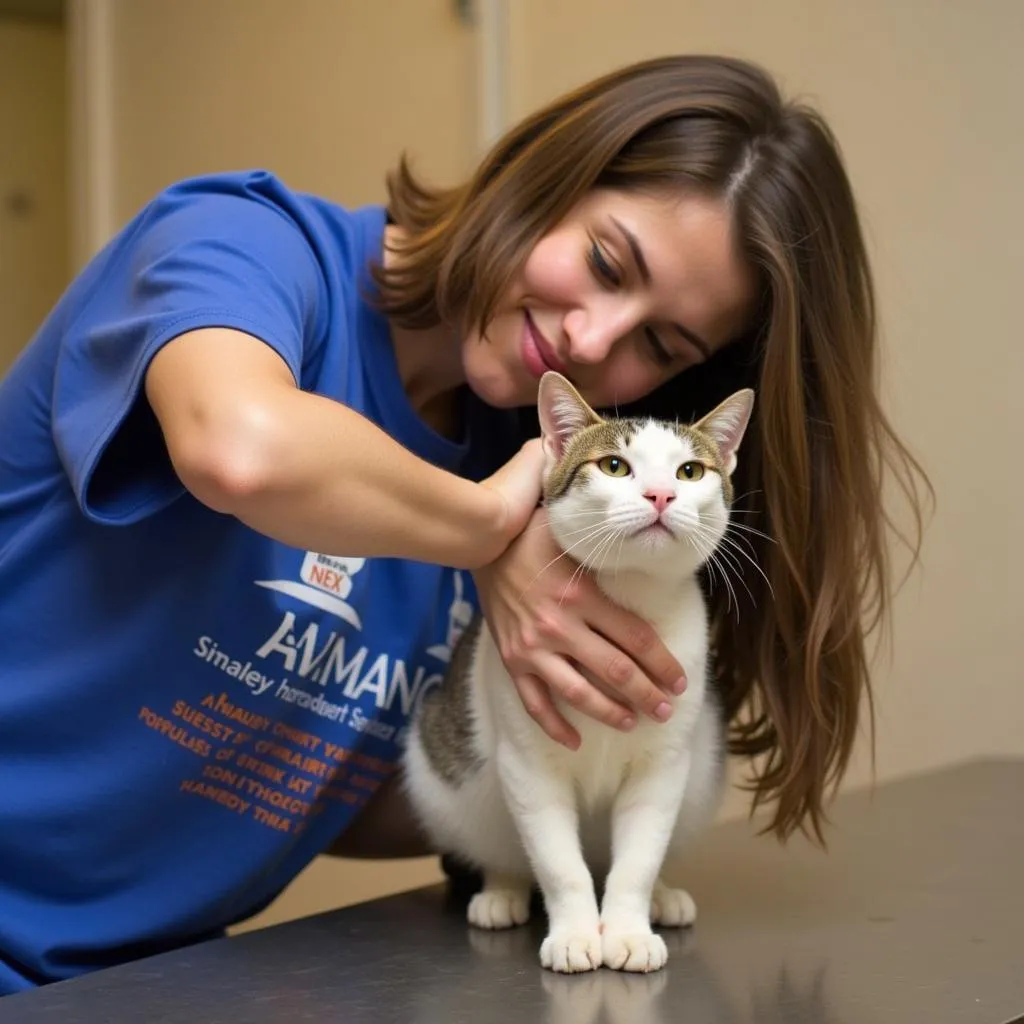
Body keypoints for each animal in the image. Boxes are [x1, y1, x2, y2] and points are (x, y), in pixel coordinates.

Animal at [403, 370, 757, 974]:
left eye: (690, 472)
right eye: (615, 465)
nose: (660, 495)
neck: (632, 596)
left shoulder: (663, 766)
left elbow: (637, 860)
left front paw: (629, 929)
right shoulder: (529, 766)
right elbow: (559, 865)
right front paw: (574, 932)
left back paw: (662, 896)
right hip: (445, 781)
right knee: (505, 849)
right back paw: (501, 891)